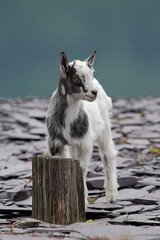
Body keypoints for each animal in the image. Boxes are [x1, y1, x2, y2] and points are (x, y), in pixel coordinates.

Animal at [45, 51, 118, 206]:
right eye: (76, 77)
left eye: (91, 74)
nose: (93, 92)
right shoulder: (55, 143)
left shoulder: (84, 143)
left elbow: (82, 168)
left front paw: (83, 200)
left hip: (105, 126)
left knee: (108, 154)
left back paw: (111, 195)